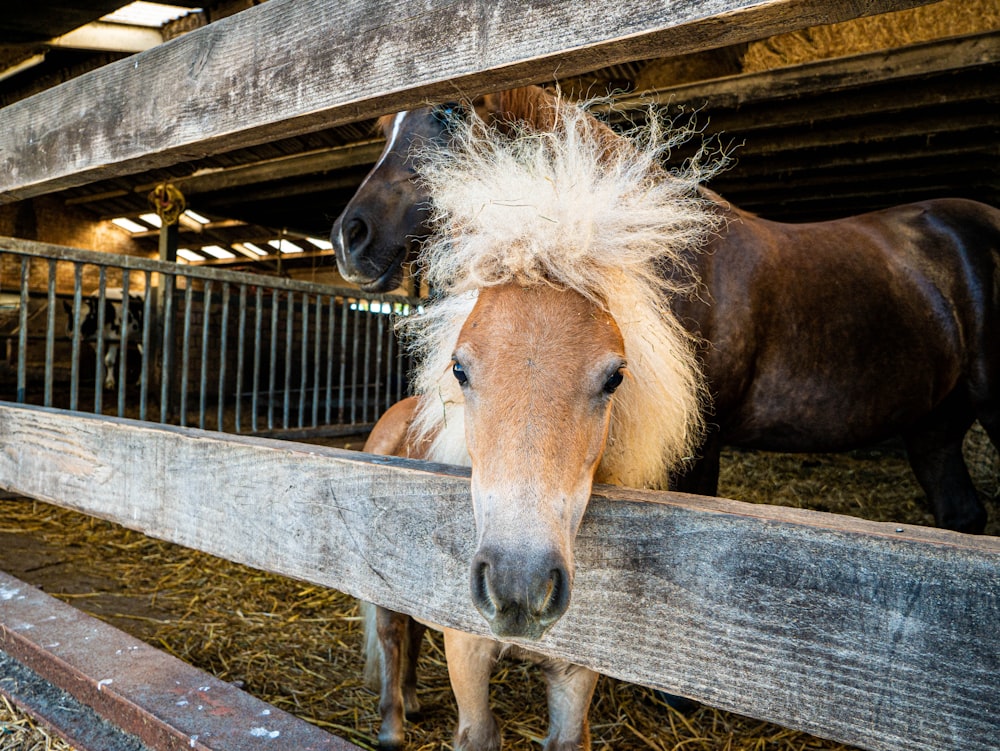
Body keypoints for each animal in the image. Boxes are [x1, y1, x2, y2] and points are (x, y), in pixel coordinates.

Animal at [356, 97, 716, 748]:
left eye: (615, 377)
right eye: (460, 368)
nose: (518, 585)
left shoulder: (576, 677)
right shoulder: (467, 654)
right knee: (394, 635)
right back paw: (395, 724)